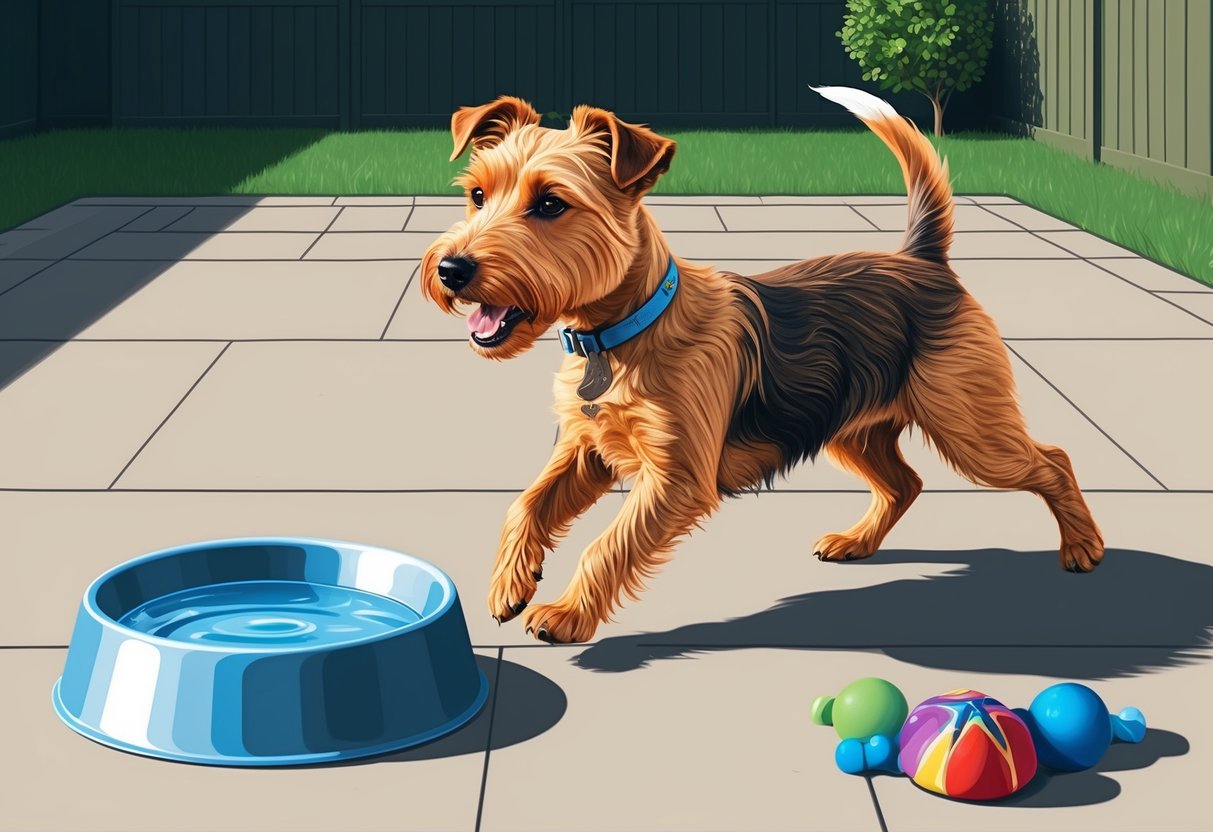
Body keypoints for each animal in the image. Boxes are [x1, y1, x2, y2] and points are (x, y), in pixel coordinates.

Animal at [422, 86, 1106, 645]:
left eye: (550, 204)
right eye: (477, 194)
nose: (451, 270)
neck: (618, 335)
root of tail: (921, 260)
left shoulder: (675, 480)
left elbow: (607, 545)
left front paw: (564, 613)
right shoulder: (586, 451)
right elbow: (526, 505)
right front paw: (511, 581)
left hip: (971, 430)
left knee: (1053, 461)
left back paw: (1083, 546)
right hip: (853, 428)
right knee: (905, 483)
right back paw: (856, 542)